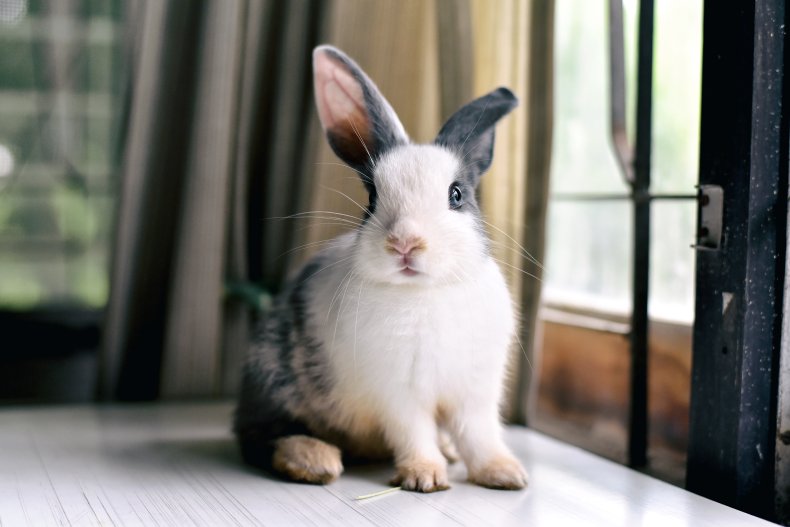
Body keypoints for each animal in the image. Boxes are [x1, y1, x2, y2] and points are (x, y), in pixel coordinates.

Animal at [235, 43, 532, 492]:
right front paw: (425, 477)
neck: (425, 292)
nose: (405, 243)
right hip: (274, 380)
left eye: (457, 195)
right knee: (260, 436)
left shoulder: (475, 392)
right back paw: (314, 459)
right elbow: (414, 432)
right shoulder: (398, 393)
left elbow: (480, 435)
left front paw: (506, 474)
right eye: (372, 198)